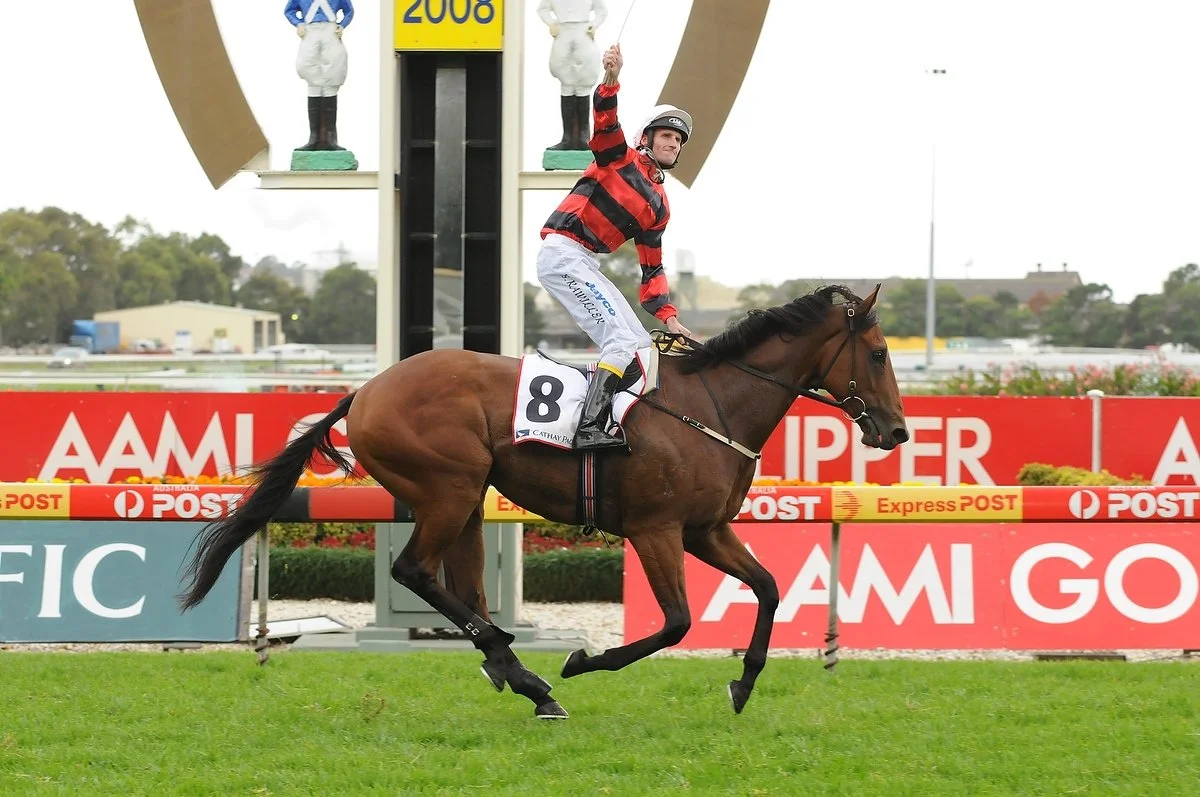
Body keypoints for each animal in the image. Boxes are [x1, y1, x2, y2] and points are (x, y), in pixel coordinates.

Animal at [177, 283, 909, 720]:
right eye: (877, 352)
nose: (898, 431)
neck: (710, 404)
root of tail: (367, 390)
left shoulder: (704, 529)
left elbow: (769, 587)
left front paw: (743, 683)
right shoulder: (656, 529)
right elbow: (675, 622)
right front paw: (584, 660)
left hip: (468, 500)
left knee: (464, 585)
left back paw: (512, 669)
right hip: (450, 487)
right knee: (415, 571)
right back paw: (525, 673)